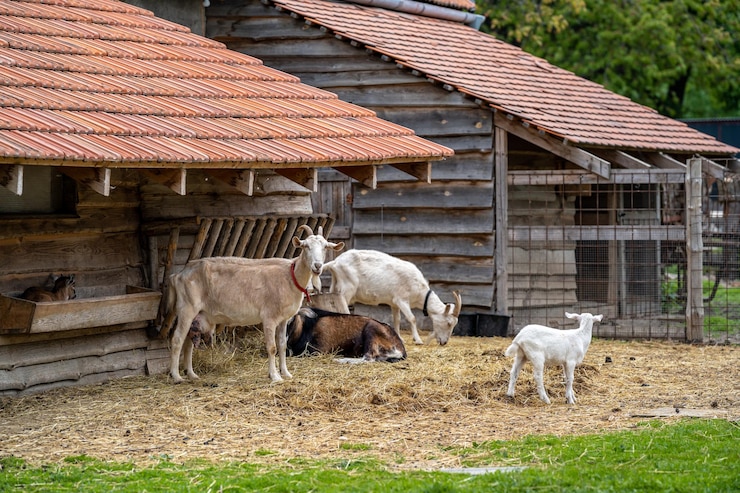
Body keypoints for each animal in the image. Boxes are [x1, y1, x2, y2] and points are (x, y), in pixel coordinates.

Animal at [160, 225, 344, 383]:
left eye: (325, 247)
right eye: (306, 246)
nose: (317, 266)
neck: (290, 276)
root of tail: (178, 275)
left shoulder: (284, 319)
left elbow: (282, 345)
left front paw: (286, 373)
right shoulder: (269, 317)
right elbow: (272, 347)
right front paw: (275, 376)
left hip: (196, 314)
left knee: (188, 342)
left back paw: (192, 374)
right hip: (187, 308)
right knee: (177, 339)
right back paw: (177, 376)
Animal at [316, 249, 462, 345]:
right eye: (449, 323)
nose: (444, 342)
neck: (420, 291)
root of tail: (335, 263)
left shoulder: (394, 303)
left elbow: (397, 320)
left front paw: (399, 338)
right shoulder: (401, 299)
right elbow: (412, 318)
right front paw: (418, 340)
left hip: (335, 286)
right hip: (347, 288)